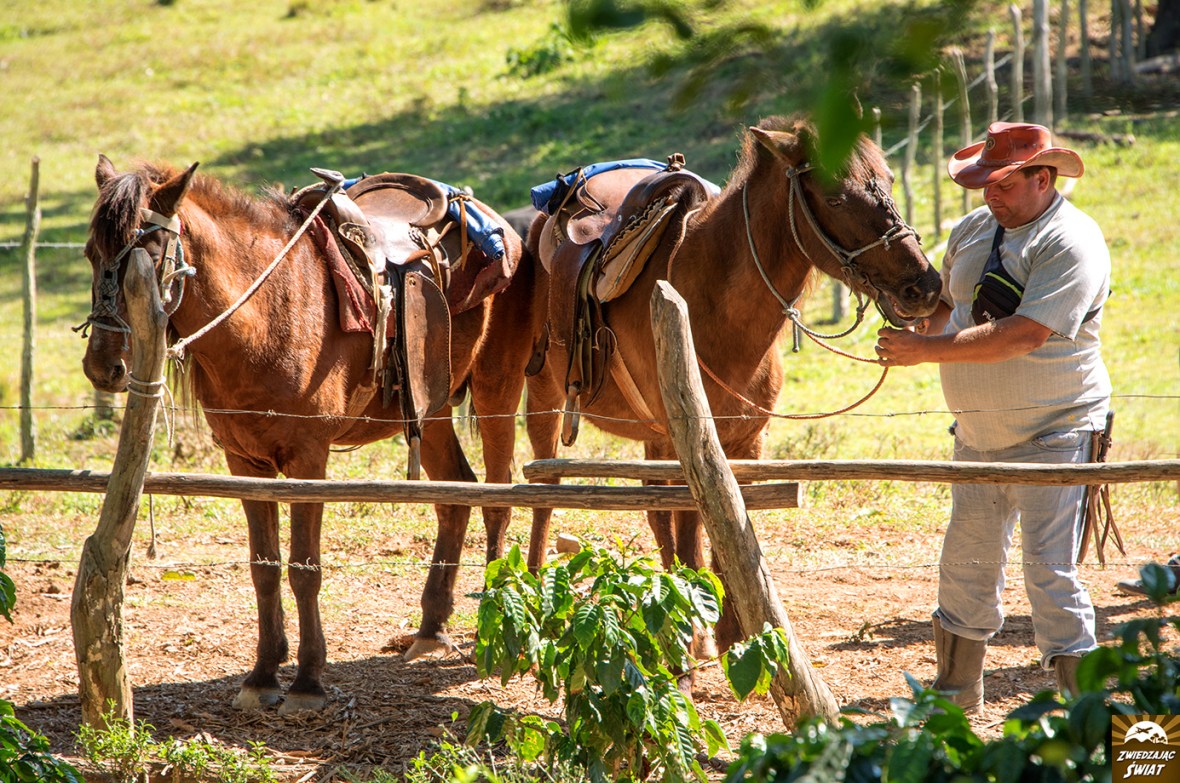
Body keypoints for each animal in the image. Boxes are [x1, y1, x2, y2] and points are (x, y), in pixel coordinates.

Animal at [80, 156, 537, 712]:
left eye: (147, 257)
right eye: (91, 254)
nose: (104, 367)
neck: (267, 315)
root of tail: (506, 229)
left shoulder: (307, 460)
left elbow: (303, 568)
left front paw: (307, 681)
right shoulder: (245, 464)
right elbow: (264, 567)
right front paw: (262, 674)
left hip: (496, 392)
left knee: (497, 499)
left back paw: (501, 621)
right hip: (428, 412)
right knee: (456, 495)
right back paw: (431, 628)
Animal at [522, 115, 943, 649]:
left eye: (888, 181)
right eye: (834, 199)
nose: (924, 287)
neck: (708, 300)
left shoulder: (744, 442)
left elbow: (731, 533)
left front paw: (734, 634)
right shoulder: (687, 443)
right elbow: (693, 533)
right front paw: (697, 635)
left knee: (654, 511)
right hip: (545, 400)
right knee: (542, 490)